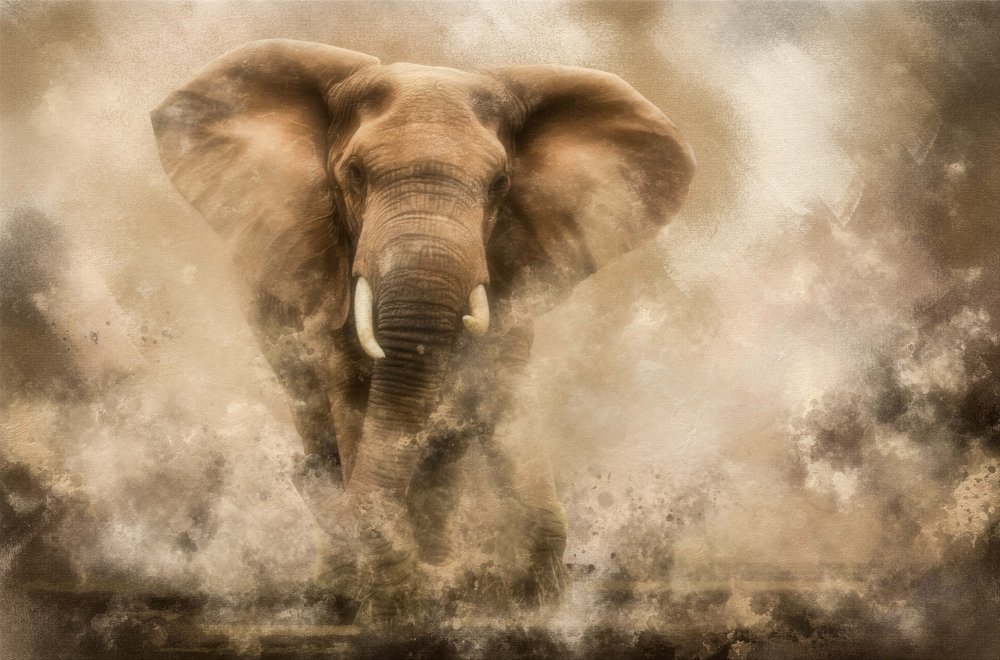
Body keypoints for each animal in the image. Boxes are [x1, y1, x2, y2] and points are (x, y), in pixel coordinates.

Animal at [151, 39, 694, 618]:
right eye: (355, 174)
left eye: (500, 184)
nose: (295, 472)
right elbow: (352, 397)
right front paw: (390, 604)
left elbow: (498, 389)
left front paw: (531, 601)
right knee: (315, 412)